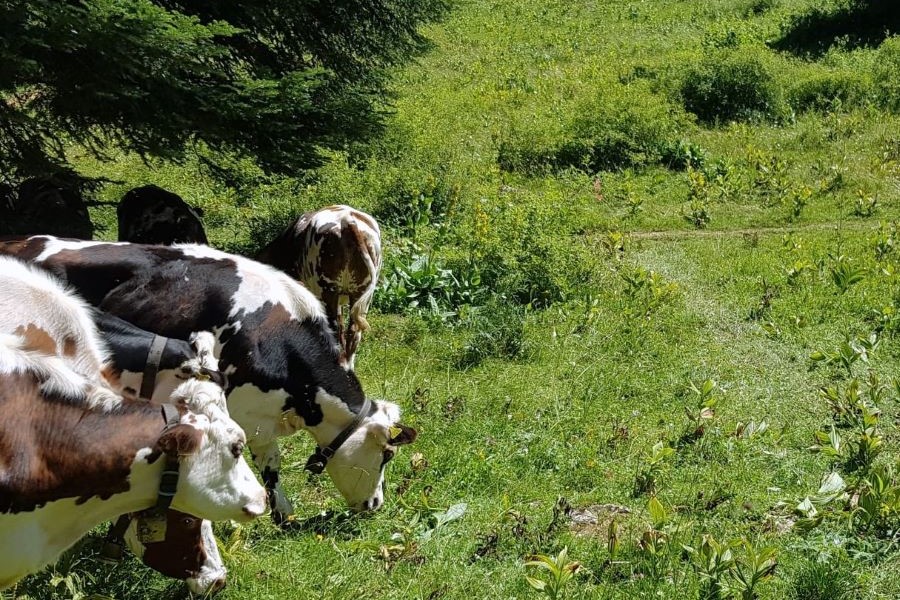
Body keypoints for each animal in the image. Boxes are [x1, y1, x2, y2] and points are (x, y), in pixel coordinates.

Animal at [0, 237, 418, 524]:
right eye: (387, 454)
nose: (375, 504)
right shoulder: (240, 412)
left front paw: (281, 515)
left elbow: (270, 465)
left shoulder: (261, 417)